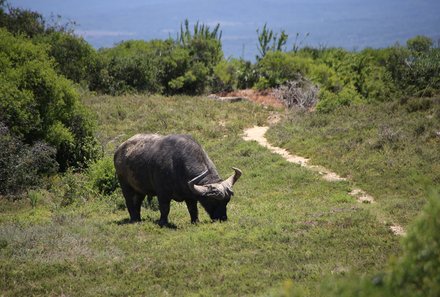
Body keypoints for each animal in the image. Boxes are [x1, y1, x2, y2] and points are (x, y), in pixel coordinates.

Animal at [113, 133, 242, 225]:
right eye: (213, 201)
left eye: (227, 201)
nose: (223, 218)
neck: (177, 165)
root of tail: (119, 151)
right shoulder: (162, 193)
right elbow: (165, 208)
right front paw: (163, 223)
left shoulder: (190, 195)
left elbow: (193, 209)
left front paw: (195, 221)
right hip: (124, 184)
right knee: (129, 201)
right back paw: (134, 219)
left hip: (140, 188)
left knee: (137, 201)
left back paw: (138, 219)